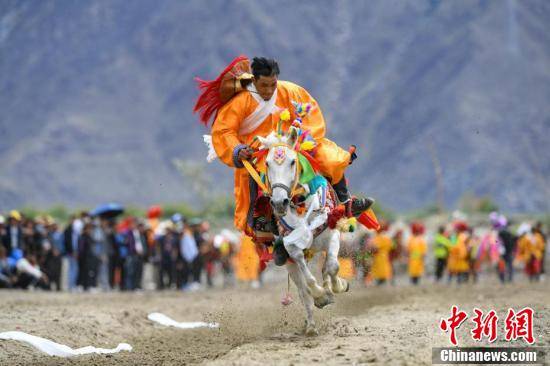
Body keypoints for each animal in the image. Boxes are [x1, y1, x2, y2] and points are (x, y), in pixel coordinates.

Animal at [258, 129, 364, 338]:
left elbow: (333, 267)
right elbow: (308, 281)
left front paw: (338, 286)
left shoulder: (332, 235)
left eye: (292, 161)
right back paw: (311, 326)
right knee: (302, 291)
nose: (279, 202)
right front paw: (320, 295)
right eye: (267, 163)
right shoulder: (292, 248)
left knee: (326, 268)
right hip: (289, 262)